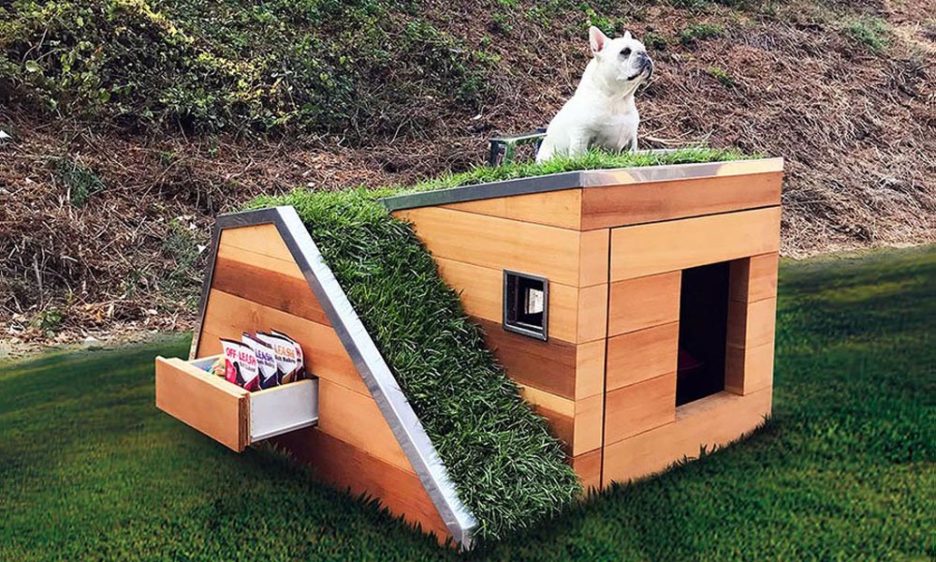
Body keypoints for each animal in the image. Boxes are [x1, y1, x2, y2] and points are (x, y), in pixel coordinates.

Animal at [536, 27, 653, 162]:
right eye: (625, 51)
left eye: (644, 49)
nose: (644, 54)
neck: (617, 100)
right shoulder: (581, 134)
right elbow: (579, 155)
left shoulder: (631, 139)